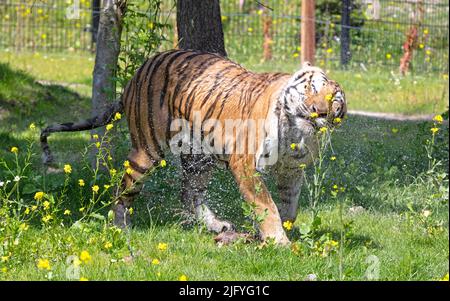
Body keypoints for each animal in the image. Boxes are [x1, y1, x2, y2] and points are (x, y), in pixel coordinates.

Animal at [40, 48, 346, 244]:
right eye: (311, 89)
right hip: (147, 150)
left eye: (335, 103)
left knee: (189, 193)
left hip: (200, 156)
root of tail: (135, 76)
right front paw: (278, 240)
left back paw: (217, 225)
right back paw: (121, 228)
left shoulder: (291, 171)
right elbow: (266, 204)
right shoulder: (246, 165)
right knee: (123, 190)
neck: (295, 135)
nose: (319, 111)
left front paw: (279, 228)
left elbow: (290, 205)